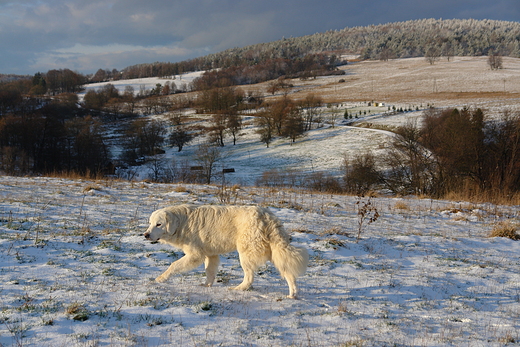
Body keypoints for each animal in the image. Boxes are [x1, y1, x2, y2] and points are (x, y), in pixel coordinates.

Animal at [144, 204, 308, 300]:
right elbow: (209, 272)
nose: (145, 235)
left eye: (159, 224)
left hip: (245, 253)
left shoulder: (195, 255)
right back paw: (292, 294)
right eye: (150, 223)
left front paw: (161, 279)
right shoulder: (210, 254)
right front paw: (207, 286)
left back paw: (239, 288)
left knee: (249, 277)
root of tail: (267, 215)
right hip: (274, 251)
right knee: (288, 272)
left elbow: (173, 265)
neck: (182, 222)